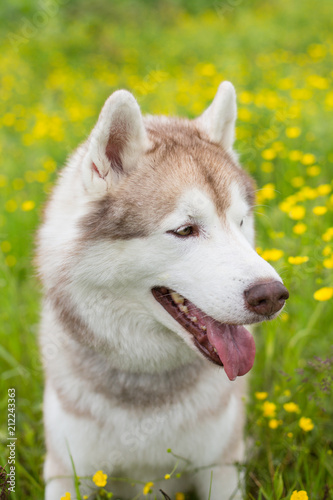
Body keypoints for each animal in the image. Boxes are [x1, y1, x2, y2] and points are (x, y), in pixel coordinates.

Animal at [37, 80, 288, 498]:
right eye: (185, 229)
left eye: (240, 222)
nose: (271, 296)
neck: (147, 387)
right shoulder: (67, 473)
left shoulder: (221, 467)